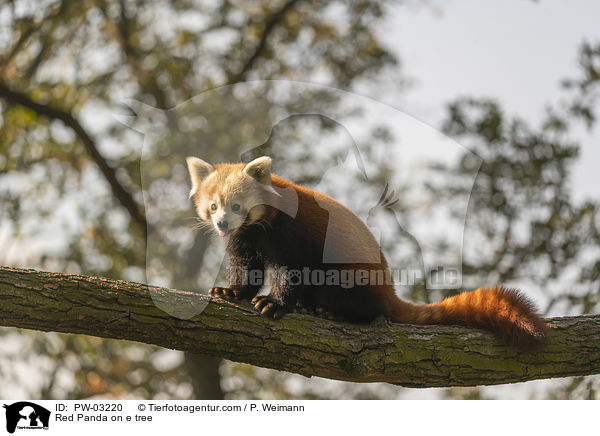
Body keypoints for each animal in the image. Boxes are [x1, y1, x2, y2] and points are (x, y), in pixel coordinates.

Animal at [186, 155, 548, 350]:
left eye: (237, 206)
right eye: (213, 206)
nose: (222, 222)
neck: (261, 228)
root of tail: (388, 288)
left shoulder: (291, 234)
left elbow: (291, 271)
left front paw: (274, 303)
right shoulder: (244, 239)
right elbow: (246, 267)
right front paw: (232, 291)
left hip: (353, 272)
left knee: (365, 302)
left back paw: (336, 311)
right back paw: (309, 306)